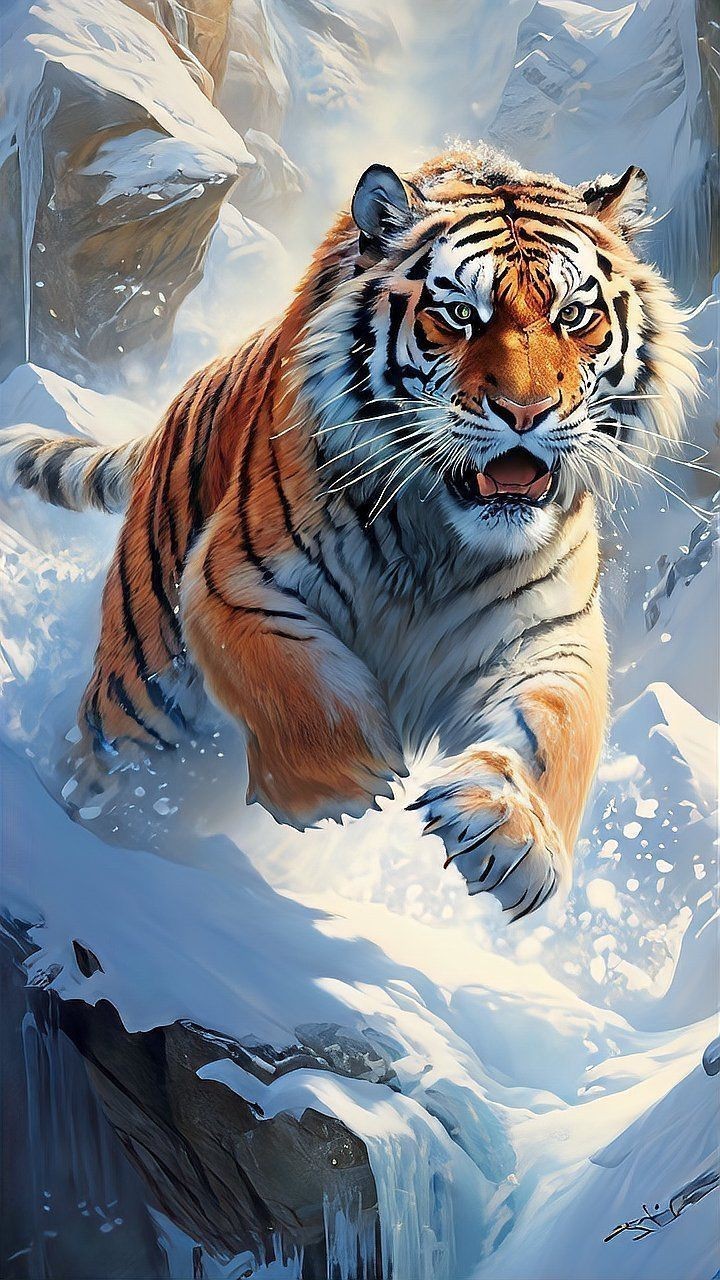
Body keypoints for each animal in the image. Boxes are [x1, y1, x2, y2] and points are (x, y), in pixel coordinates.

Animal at [3, 142, 698, 921]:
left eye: (574, 315)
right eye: (459, 314)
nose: (526, 412)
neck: (442, 540)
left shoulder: (552, 635)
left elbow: (553, 727)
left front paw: (511, 833)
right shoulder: (235, 576)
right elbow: (297, 678)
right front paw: (342, 784)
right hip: (145, 688)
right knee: (105, 765)